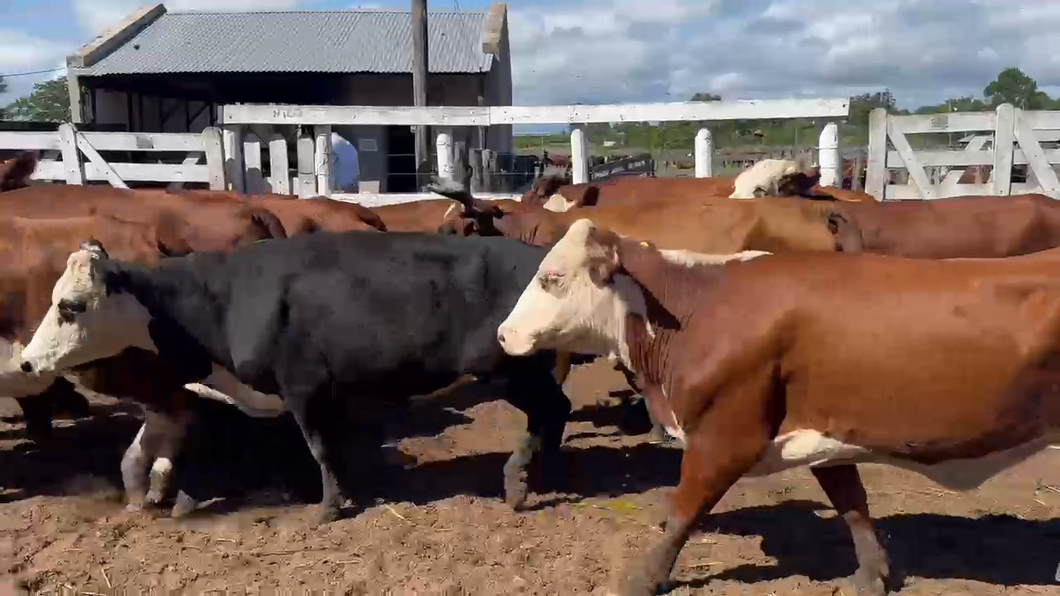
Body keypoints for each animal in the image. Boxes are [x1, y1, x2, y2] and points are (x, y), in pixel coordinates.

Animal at [17, 231, 574, 524]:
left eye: (70, 306)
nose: (26, 363)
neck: (222, 300)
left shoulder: (304, 387)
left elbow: (319, 449)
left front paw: (327, 508)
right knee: (556, 413)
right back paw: (538, 470)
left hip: (512, 371)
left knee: (553, 410)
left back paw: (518, 481)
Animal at [495, 217, 1060, 596]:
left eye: (551, 277)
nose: (503, 334)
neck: (701, 309)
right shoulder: (826, 432)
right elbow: (852, 504)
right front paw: (871, 574)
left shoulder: (725, 436)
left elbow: (683, 511)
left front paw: (643, 578)